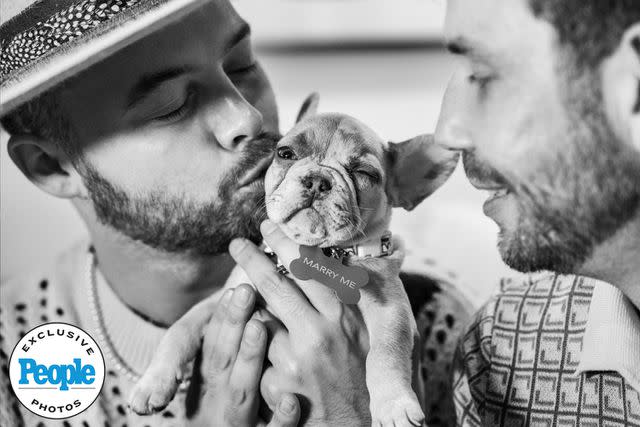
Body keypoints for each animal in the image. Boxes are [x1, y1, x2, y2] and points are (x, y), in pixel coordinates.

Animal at [129, 94, 460, 427]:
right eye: (285, 153)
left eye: (365, 174)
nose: (317, 180)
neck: (317, 252)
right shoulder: (229, 294)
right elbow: (181, 327)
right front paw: (152, 382)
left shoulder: (391, 310)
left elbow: (386, 352)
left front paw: (394, 405)